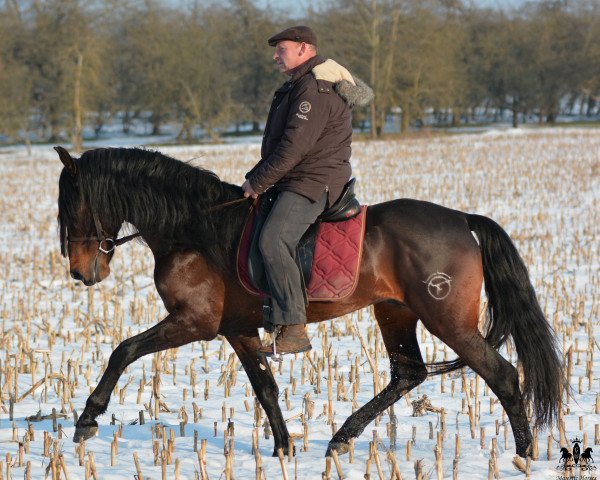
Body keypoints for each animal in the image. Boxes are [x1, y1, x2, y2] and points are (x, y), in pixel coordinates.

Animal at [52, 145, 564, 458]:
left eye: (71, 205)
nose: (81, 272)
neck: (192, 228)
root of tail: (462, 219)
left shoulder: (193, 322)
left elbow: (124, 351)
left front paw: (87, 419)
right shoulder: (237, 329)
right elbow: (265, 388)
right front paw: (283, 448)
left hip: (447, 320)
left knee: (502, 375)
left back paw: (523, 455)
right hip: (395, 312)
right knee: (408, 374)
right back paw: (341, 438)